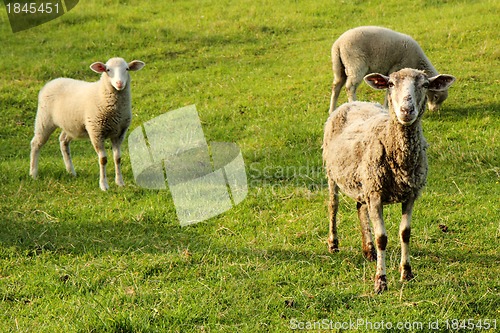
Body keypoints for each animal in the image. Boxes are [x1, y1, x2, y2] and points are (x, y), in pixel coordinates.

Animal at [30, 57, 145, 189]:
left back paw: (71, 171)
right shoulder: (96, 132)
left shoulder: (119, 133)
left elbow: (118, 158)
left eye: (126, 69)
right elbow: (103, 159)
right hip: (44, 119)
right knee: (36, 143)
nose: (119, 84)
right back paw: (33, 173)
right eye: (108, 70)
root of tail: (52, 81)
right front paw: (104, 185)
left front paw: (120, 182)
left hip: (71, 126)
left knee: (63, 140)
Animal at [322, 67, 456, 294]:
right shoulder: (376, 196)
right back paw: (334, 243)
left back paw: (368, 250)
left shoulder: (410, 194)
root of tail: (354, 103)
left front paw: (407, 273)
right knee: (333, 206)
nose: (406, 110)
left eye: (425, 85)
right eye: (391, 84)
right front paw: (381, 281)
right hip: (333, 174)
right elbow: (382, 238)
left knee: (360, 208)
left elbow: (405, 233)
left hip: (364, 181)